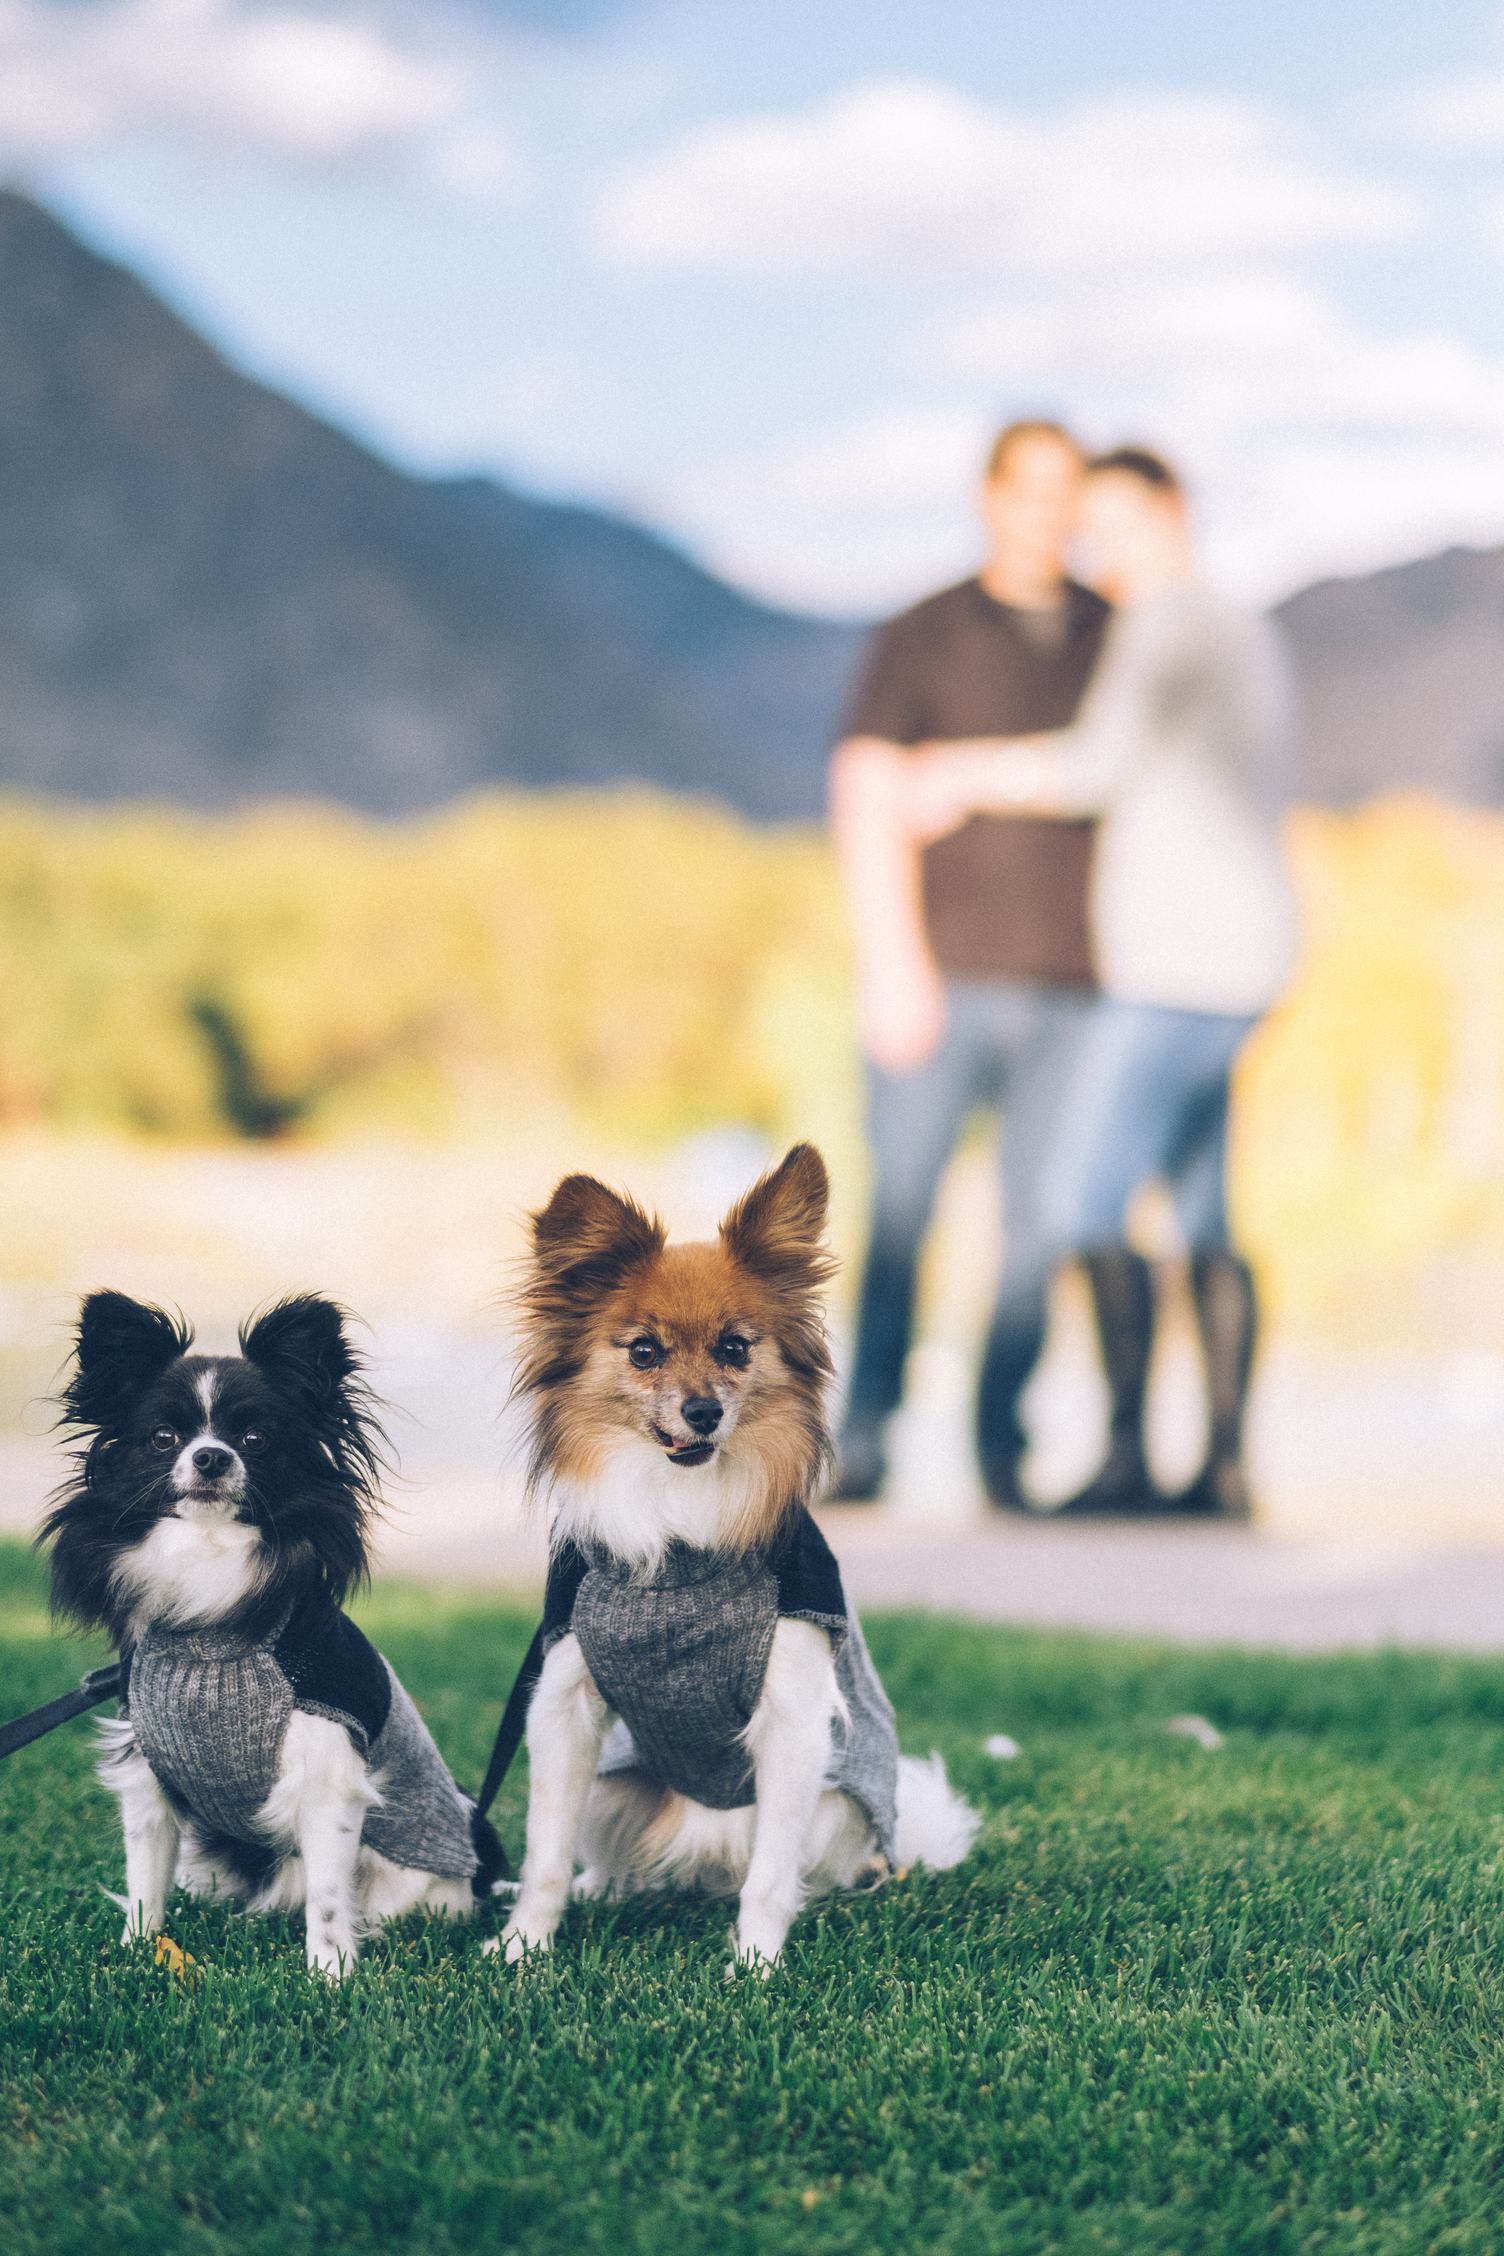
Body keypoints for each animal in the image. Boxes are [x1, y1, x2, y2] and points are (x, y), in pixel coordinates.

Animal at [41, 1290, 496, 1976]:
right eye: (163, 1438)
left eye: (254, 1439)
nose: (210, 1456)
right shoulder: (147, 1781)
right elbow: (145, 1881)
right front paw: (138, 1955)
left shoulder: (328, 1782)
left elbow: (330, 1901)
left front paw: (331, 1976)